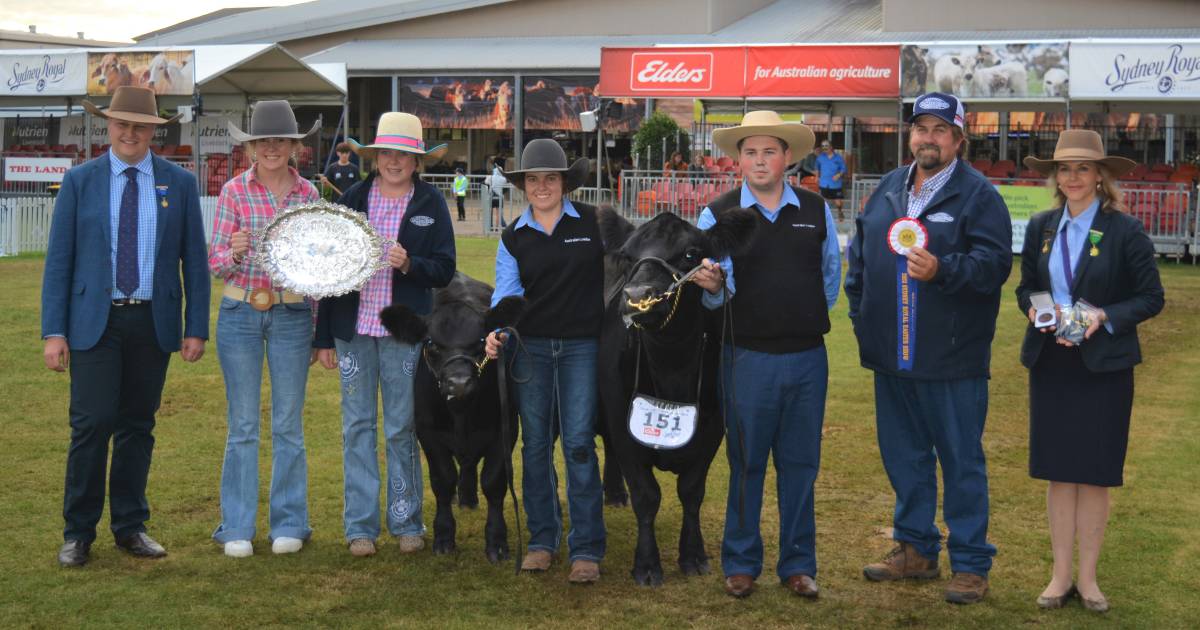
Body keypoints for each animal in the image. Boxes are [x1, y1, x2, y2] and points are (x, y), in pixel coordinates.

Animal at [379, 272, 520, 561]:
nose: (459, 384)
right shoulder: (428, 432)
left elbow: (493, 481)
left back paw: (468, 497)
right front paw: (444, 537)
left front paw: (497, 541)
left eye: (481, 341)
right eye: (432, 344)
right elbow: (443, 480)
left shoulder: (506, 429)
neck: (461, 415)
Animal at [595, 207, 753, 585]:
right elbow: (647, 495)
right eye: (628, 255)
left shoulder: (713, 425)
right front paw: (647, 565)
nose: (638, 294)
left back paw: (615, 493)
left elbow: (692, 491)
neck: (672, 367)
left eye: (691, 254)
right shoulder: (622, 418)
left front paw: (694, 555)